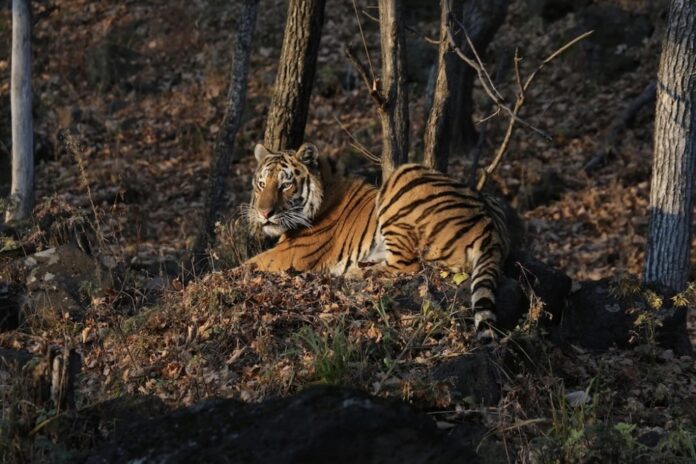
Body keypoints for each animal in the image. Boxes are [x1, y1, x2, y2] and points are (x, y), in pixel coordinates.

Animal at [243, 143, 511, 334]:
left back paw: (352, 273)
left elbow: (244, 266)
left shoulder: (291, 254)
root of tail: (492, 229)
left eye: (285, 185)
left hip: (403, 176)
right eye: (262, 184)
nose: (264, 213)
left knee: (408, 266)